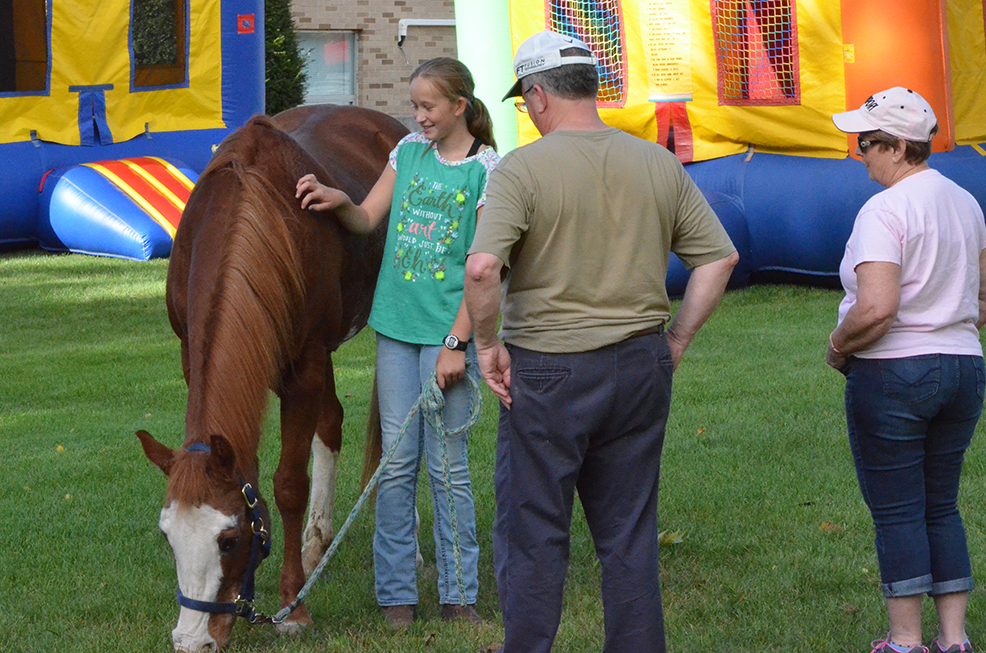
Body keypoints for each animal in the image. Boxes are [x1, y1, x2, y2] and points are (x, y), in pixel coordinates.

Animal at [136, 104, 406, 648]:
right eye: (167, 537)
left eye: (230, 539)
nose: (192, 640)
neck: (249, 214)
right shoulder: (193, 356)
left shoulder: (304, 366)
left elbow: (288, 485)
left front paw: (293, 606)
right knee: (332, 421)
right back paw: (317, 543)